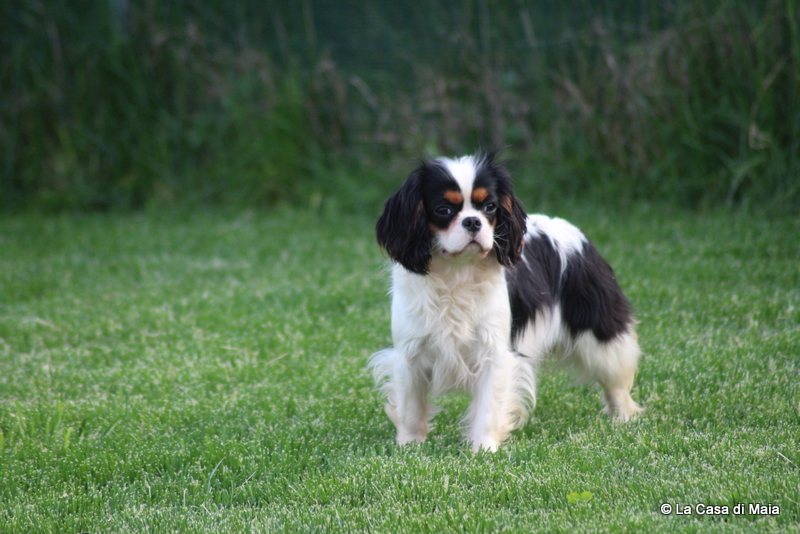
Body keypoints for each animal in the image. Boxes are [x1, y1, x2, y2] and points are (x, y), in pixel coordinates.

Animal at [370, 153, 642, 452]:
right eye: (443, 210)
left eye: (490, 207)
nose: (473, 222)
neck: (457, 272)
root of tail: (574, 231)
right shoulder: (410, 352)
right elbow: (410, 406)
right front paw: (409, 446)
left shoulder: (494, 351)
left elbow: (489, 405)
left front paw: (483, 449)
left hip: (602, 340)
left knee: (617, 383)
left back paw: (624, 418)